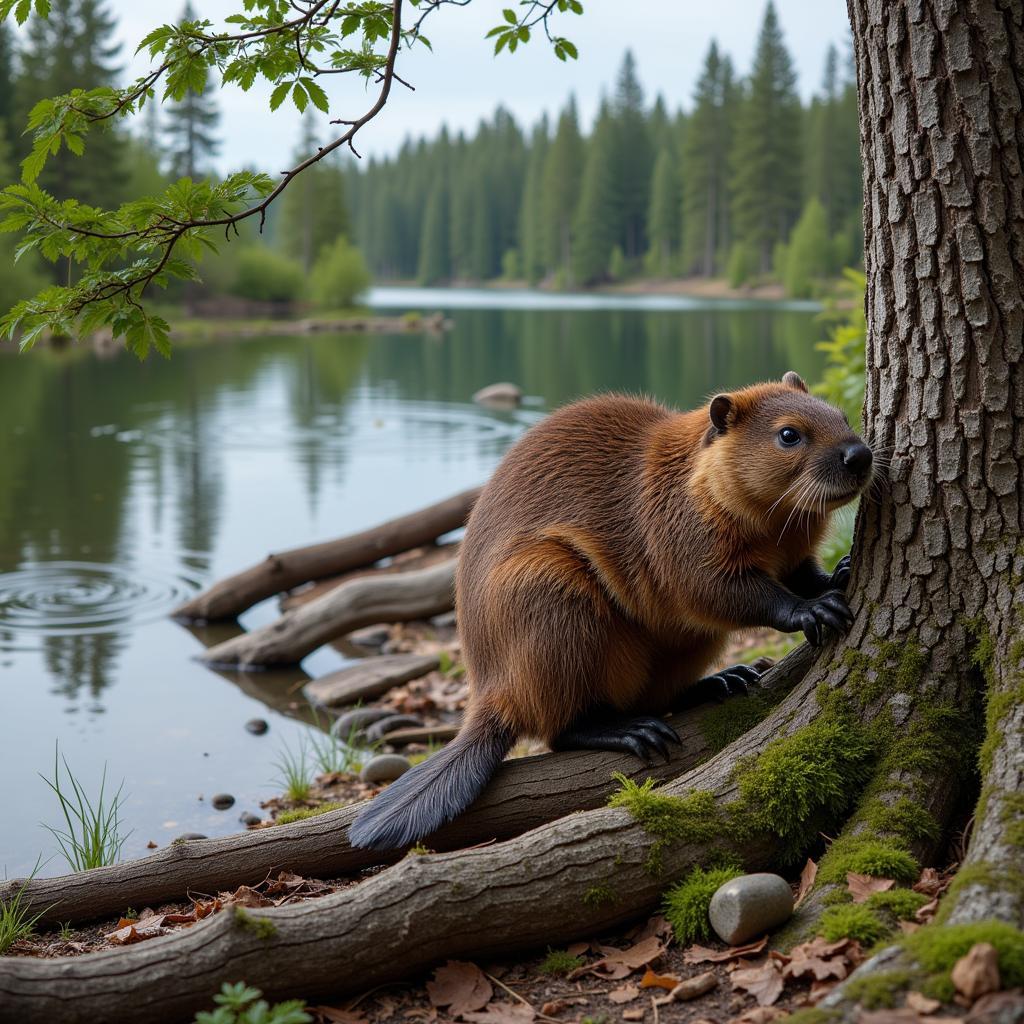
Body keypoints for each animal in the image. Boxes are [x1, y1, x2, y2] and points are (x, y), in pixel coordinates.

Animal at [352, 372, 872, 851]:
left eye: (842, 417)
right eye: (789, 434)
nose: (859, 455)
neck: (688, 477)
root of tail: (488, 703)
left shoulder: (789, 546)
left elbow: (800, 571)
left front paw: (841, 572)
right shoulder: (676, 530)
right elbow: (715, 589)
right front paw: (813, 611)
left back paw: (723, 681)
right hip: (550, 588)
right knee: (562, 728)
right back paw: (634, 731)